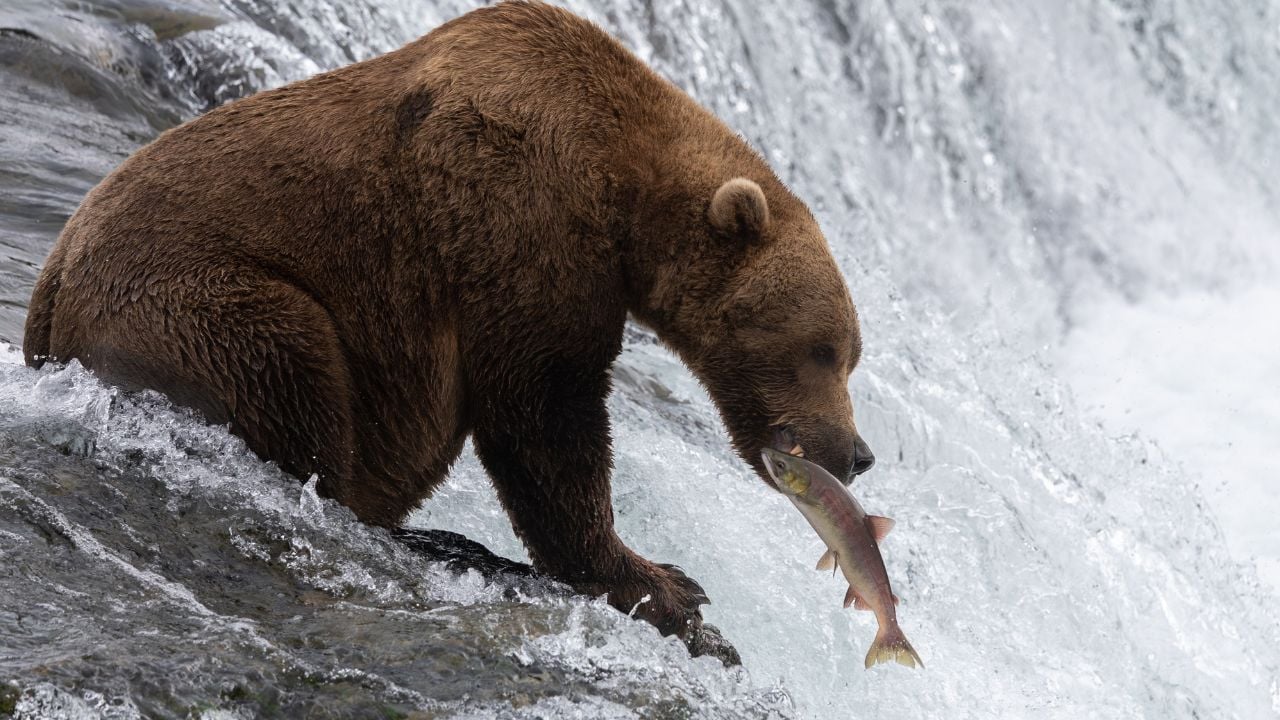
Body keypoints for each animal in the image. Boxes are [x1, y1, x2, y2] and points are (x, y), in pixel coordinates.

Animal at [22, 1, 875, 641]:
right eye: (822, 348)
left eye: (851, 355)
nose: (857, 452)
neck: (624, 190)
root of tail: (49, 287)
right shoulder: (522, 219)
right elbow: (542, 414)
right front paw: (665, 583)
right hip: (204, 298)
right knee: (291, 369)